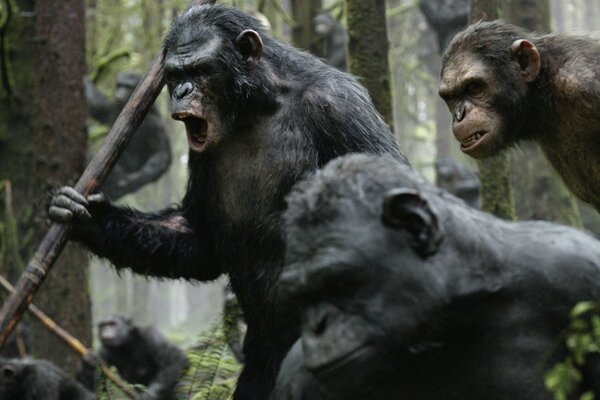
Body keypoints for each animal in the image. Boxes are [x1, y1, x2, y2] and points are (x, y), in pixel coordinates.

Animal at [84, 72, 171, 200]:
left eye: (127, 86)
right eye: (119, 85)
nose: (120, 92)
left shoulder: (157, 125)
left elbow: (161, 153)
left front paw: (135, 179)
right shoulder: (108, 108)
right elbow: (93, 99)